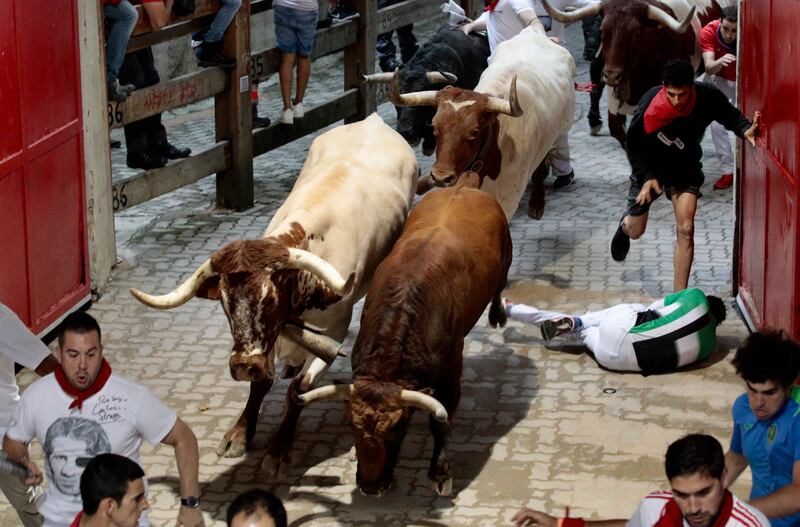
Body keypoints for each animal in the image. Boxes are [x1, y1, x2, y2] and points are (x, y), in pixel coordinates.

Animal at [129, 113, 418, 474]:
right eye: (225, 303)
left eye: (270, 298)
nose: (242, 365)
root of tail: (373, 120)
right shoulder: (267, 340)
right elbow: (261, 383)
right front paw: (239, 434)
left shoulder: (333, 334)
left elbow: (299, 390)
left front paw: (279, 448)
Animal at [297, 171, 512, 497]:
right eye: (350, 425)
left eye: (398, 427)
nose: (370, 486)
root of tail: (464, 186)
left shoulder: (451, 369)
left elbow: (441, 420)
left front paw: (440, 472)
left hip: (506, 259)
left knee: (500, 286)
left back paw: (498, 314)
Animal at [389, 25, 575, 220]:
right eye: (434, 126)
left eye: (475, 132)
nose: (440, 177)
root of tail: (534, 32)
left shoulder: (509, 199)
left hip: (559, 130)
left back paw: (537, 203)